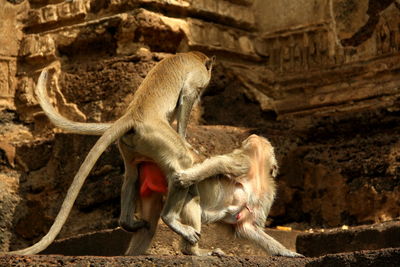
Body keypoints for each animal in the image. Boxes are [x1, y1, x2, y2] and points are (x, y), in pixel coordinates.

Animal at [7, 51, 220, 255]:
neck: (194, 57)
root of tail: (132, 116)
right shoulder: (198, 77)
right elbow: (186, 97)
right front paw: (186, 139)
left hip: (130, 145)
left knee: (132, 176)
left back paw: (127, 222)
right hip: (157, 136)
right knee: (182, 162)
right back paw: (170, 219)